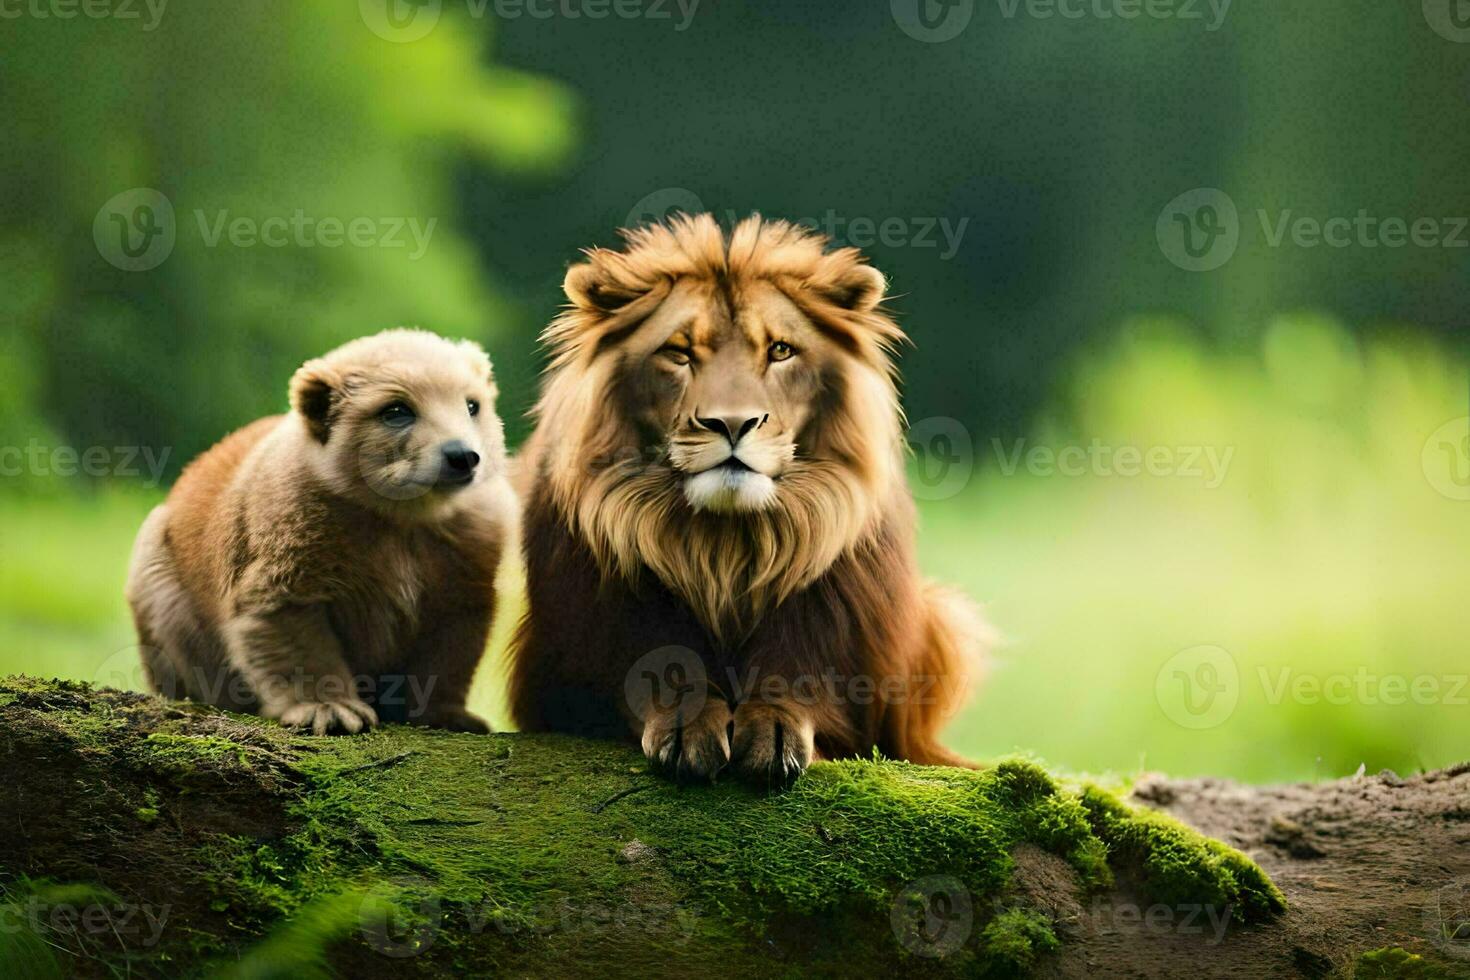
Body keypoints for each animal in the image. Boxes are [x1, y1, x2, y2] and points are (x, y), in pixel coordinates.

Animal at [505, 214, 987, 787]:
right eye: (679, 352)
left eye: (779, 350)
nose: (732, 423)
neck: (726, 544)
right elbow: (662, 665)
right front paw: (688, 723)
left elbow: (797, 682)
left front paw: (775, 728)